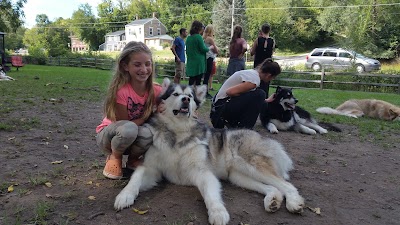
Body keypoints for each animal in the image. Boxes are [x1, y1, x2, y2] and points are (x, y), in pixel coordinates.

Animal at [114, 78, 304, 225]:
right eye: (175, 94)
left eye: (190, 96)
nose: (185, 99)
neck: (178, 132)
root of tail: (262, 137)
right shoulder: (152, 169)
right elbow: (136, 177)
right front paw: (124, 196)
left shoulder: (202, 171)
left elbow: (211, 195)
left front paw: (218, 212)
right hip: (239, 176)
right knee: (273, 187)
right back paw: (273, 201)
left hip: (251, 165)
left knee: (287, 185)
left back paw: (294, 202)